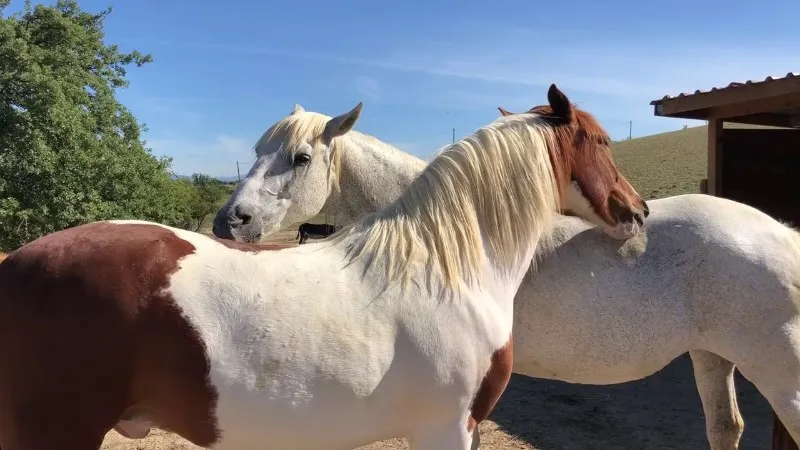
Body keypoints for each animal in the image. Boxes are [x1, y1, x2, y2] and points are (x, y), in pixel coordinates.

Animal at [214, 99, 800, 449]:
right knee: (725, 427)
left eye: (300, 157)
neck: (445, 234)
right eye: (256, 151)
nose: (228, 221)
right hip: (713, 357)